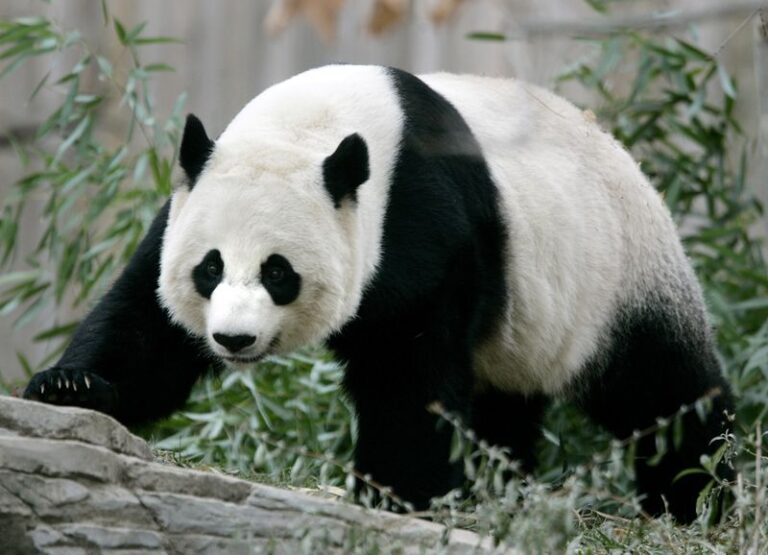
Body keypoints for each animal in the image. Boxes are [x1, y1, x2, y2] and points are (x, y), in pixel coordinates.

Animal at [23, 64, 733, 523]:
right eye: (210, 269)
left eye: (278, 273)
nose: (233, 339)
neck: (316, 124)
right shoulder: (189, 203)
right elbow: (147, 327)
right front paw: (69, 388)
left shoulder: (420, 219)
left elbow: (407, 366)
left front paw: (397, 493)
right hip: (527, 324)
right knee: (505, 405)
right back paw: (497, 487)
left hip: (618, 279)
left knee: (664, 393)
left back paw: (700, 498)